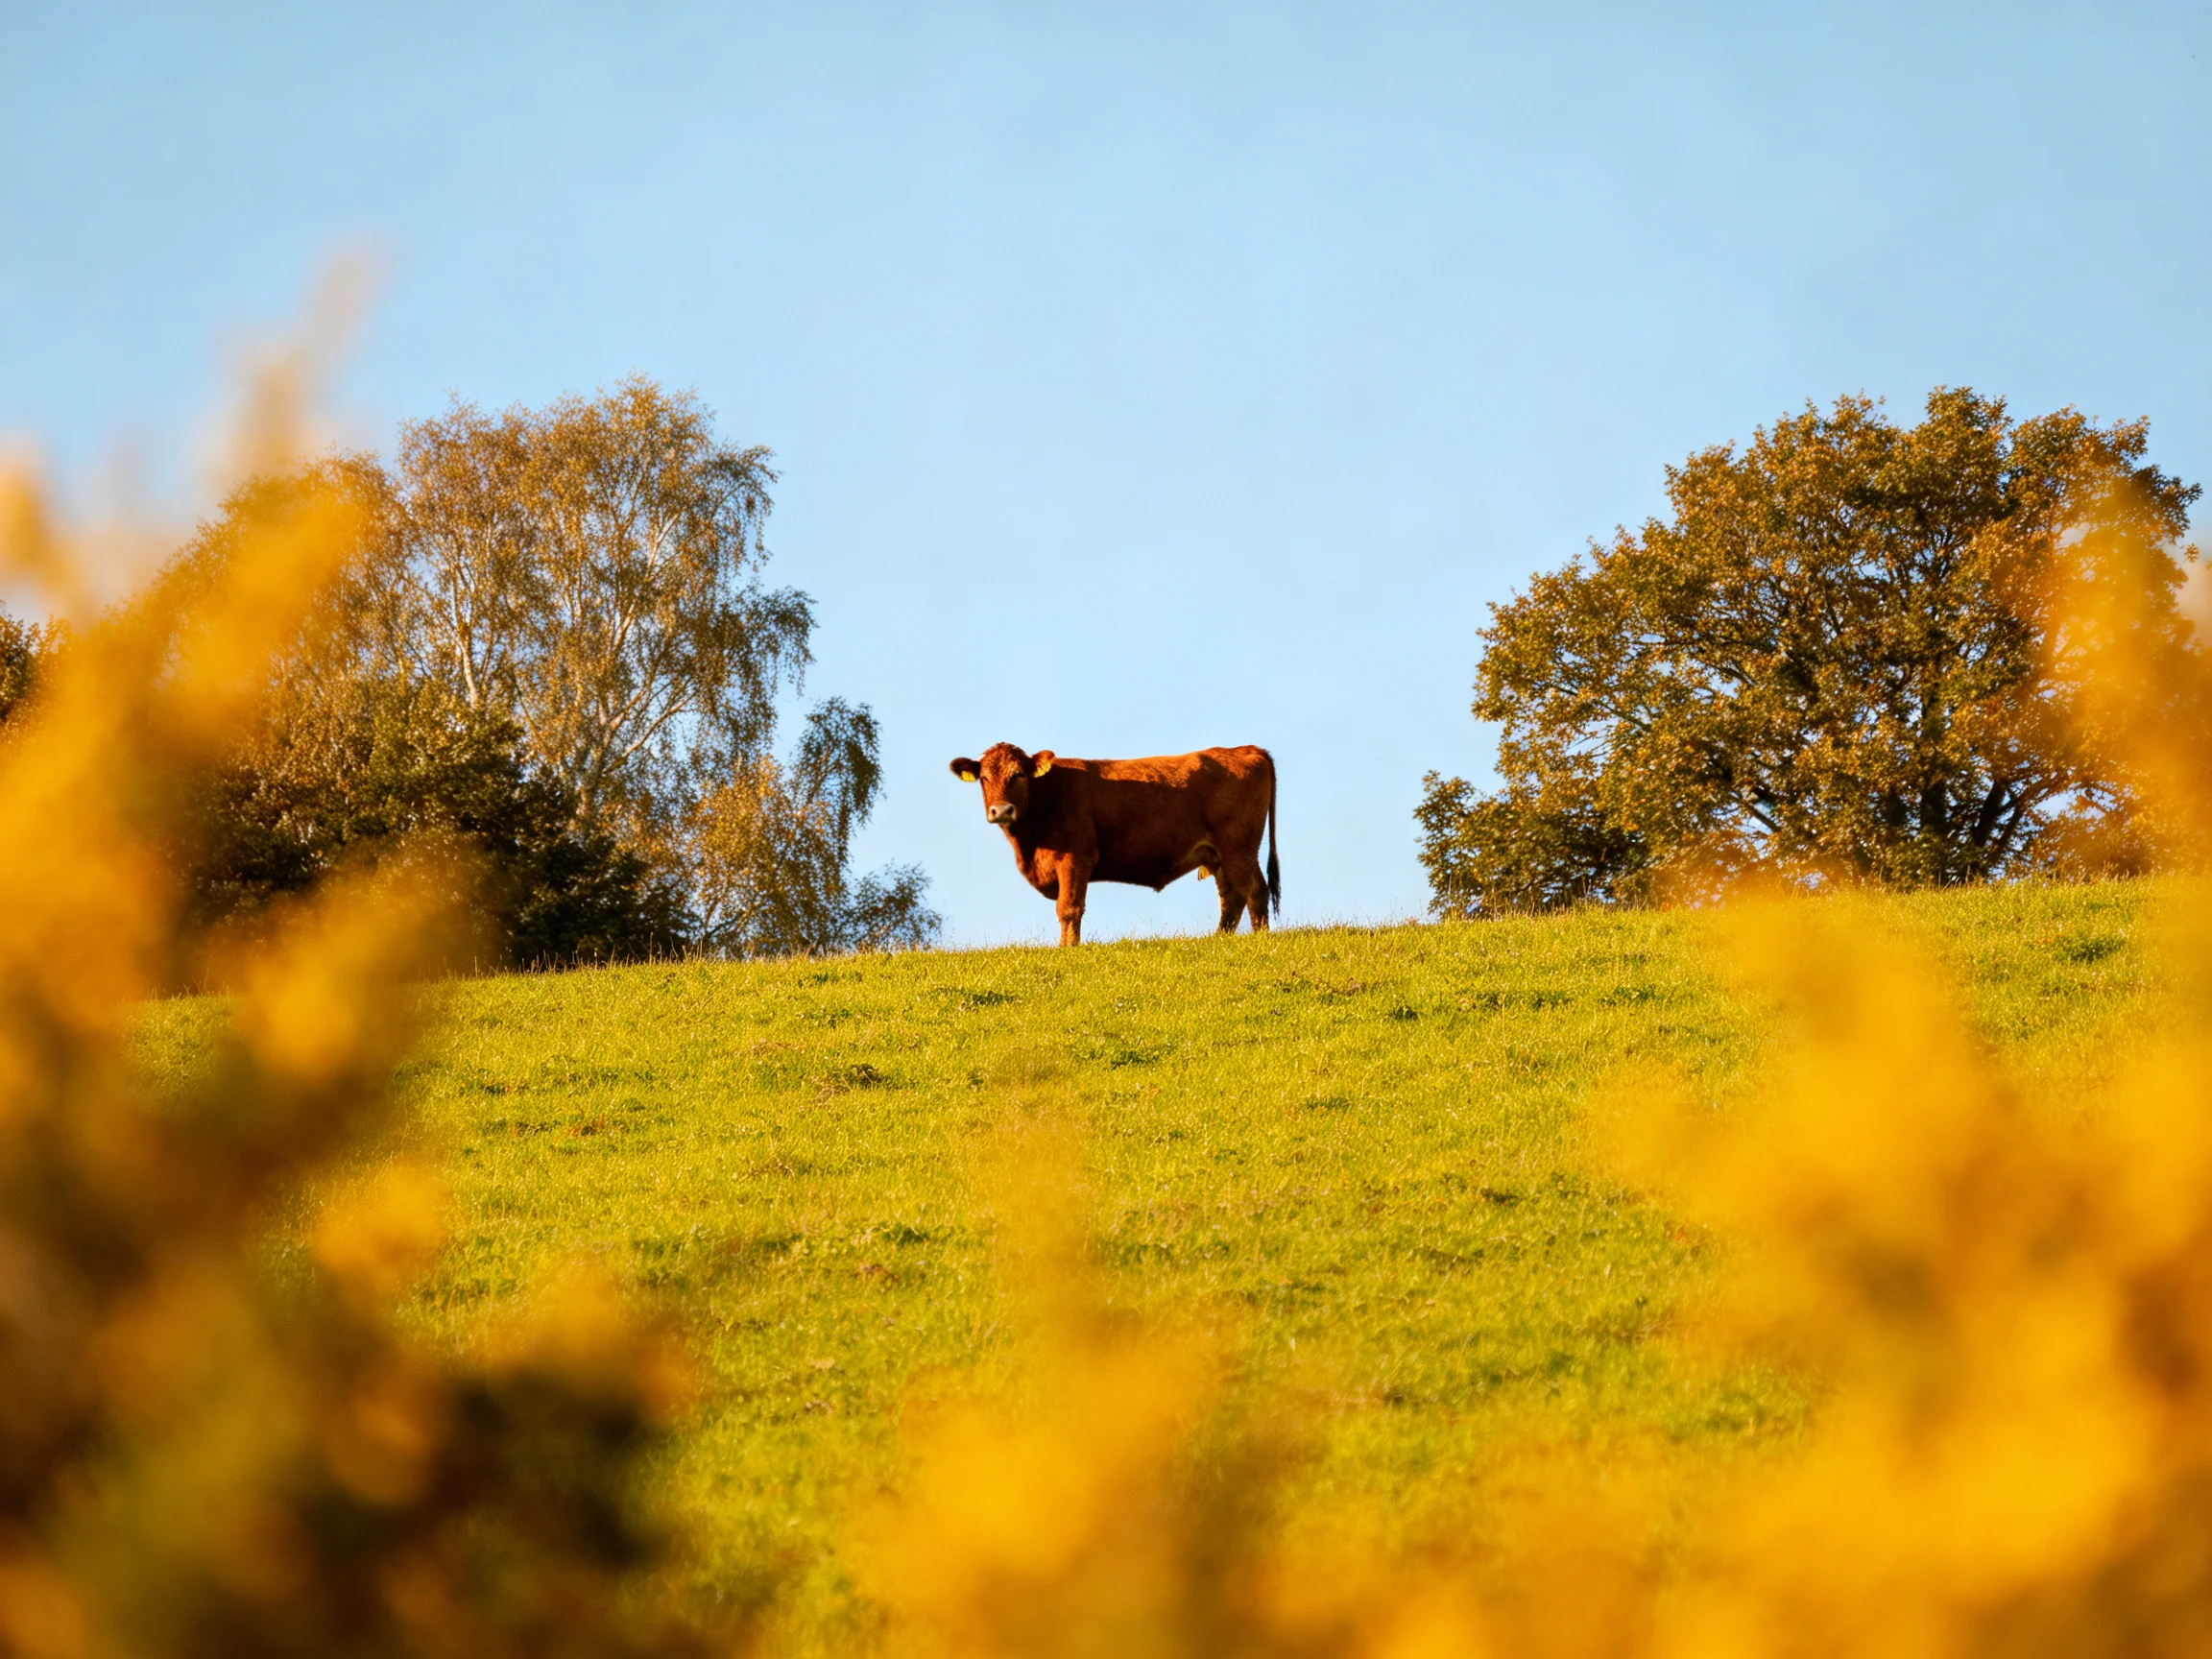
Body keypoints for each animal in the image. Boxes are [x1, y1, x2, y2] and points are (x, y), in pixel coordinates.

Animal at [948, 743, 1279, 945]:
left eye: (1018, 775)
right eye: (984, 778)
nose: (1002, 810)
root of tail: (1245, 749)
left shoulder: (1076, 858)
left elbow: (1068, 908)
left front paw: (1067, 949)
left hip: (1239, 848)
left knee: (1255, 891)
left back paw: (1260, 939)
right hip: (1219, 855)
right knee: (1231, 898)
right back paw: (1219, 939)